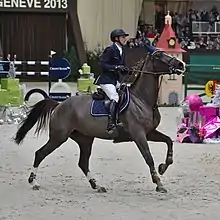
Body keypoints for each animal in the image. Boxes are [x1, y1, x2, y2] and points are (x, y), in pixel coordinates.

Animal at [13, 49, 186, 192]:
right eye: (159, 55)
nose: (181, 64)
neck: (142, 99)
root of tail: (59, 104)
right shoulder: (139, 134)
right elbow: (149, 158)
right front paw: (159, 183)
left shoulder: (149, 132)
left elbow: (168, 141)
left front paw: (164, 167)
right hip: (58, 137)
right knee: (40, 154)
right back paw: (34, 182)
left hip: (85, 139)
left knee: (83, 163)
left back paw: (97, 185)